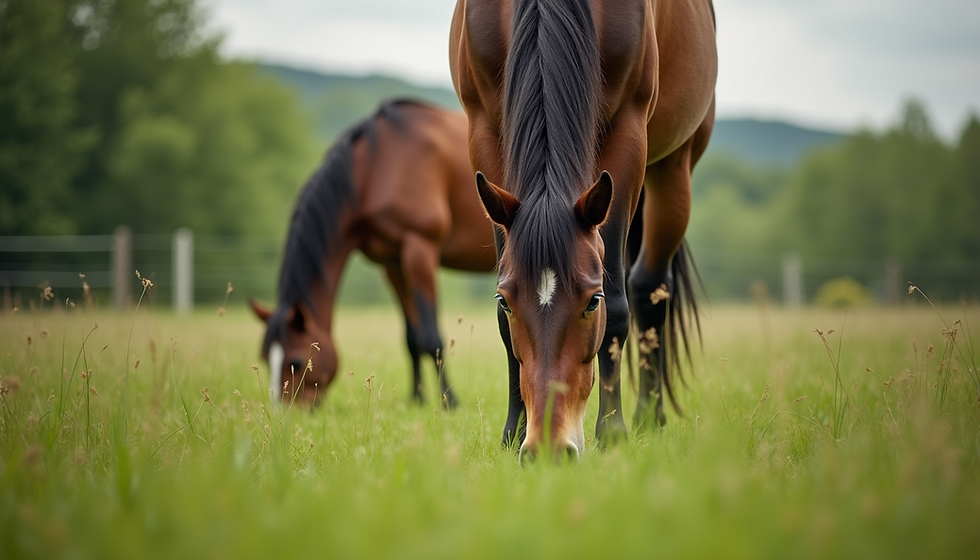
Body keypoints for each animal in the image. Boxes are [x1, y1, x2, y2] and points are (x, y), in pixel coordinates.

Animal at [249, 99, 497, 407]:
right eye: (265, 359)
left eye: (295, 361)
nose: (285, 411)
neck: (377, 166)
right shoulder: (393, 262)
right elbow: (412, 338)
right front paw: (417, 399)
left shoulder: (419, 249)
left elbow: (432, 338)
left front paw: (449, 401)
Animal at [450, 0, 717, 461]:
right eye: (504, 301)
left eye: (592, 302)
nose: (548, 449)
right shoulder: (483, 129)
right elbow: (504, 329)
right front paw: (513, 432)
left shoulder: (630, 131)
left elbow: (620, 308)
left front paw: (612, 431)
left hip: (673, 165)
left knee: (649, 286)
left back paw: (650, 416)